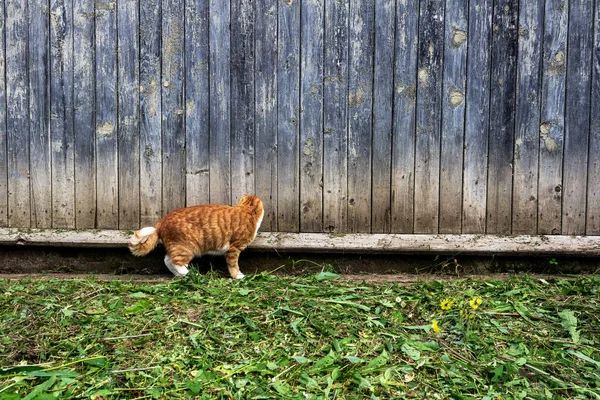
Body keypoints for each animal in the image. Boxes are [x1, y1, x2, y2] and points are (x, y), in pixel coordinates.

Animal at [129, 196, 262, 278]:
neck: (246, 210)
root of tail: (161, 222)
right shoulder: (233, 249)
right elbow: (233, 265)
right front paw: (238, 276)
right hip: (187, 248)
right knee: (176, 262)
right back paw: (190, 274)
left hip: (178, 247)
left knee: (167, 260)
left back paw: (180, 275)